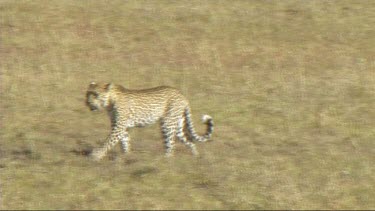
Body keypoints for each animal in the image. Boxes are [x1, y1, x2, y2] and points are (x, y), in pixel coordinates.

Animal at [85, 81, 214, 160]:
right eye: (87, 94)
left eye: (96, 94)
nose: (88, 103)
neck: (110, 102)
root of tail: (181, 94)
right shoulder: (121, 127)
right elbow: (124, 142)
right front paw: (127, 156)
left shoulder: (119, 126)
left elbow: (108, 141)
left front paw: (96, 155)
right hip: (177, 125)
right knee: (190, 141)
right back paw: (195, 157)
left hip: (168, 124)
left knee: (171, 145)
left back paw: (166, 160)